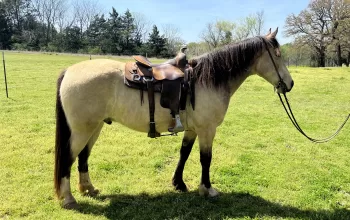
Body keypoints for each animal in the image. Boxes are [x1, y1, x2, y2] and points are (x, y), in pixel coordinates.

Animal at [54, 28, 294, 209]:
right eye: (278, 55)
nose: (289, 84)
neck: (208, 80)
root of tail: (70, 70)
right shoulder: (207, 129)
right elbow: (205, 159)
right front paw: (207, 189)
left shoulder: (192, 129)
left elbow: (184, 153)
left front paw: (178, 184)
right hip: (82, 130)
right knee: (68, 157)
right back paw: (68, 199)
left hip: (94, 128)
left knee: (83, 156)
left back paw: (88, 189)